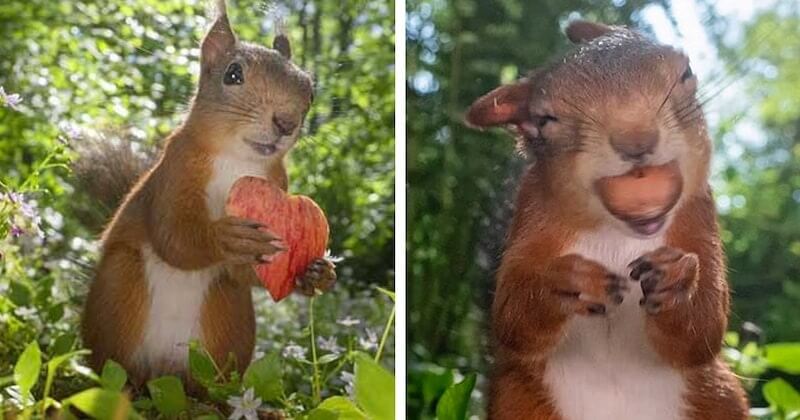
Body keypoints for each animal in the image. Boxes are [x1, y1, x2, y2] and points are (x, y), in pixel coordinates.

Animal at [79, 0, 334, 388]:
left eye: (310, 90)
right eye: (233, 75)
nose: (286, 123)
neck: (235, 159)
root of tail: (162, 371)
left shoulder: (279, 183)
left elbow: (249, 273)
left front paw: (316, 273)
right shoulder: (174, 171)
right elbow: (174, 237)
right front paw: (226, 236)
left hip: (229, 316)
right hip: (118, 290)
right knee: (114, 367)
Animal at [466, 20, 748, 420]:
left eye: (686, 74)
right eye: (544, 120)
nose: (636, 141)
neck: (619, 232)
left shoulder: (699, 216)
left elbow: (702, 334)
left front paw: (677, 279)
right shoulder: (531, 216)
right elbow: (511, 318)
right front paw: (567, 281)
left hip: (720, 395)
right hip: (516, 398)